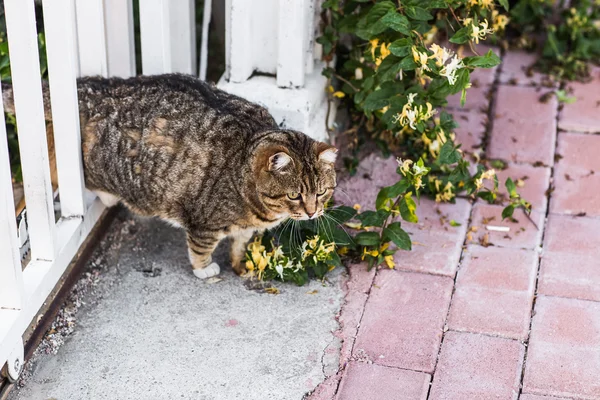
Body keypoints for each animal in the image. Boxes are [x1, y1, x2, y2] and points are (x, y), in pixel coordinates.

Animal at [3, 75, 338, 280]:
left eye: (322, 192)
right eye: (295, 195)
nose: (313, 212)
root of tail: (96, 86)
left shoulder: (246, 229)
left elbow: (240, 245)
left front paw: (241, 264)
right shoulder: (203, 225)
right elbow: (201, 249)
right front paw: (205, 270)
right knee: (60, 168)